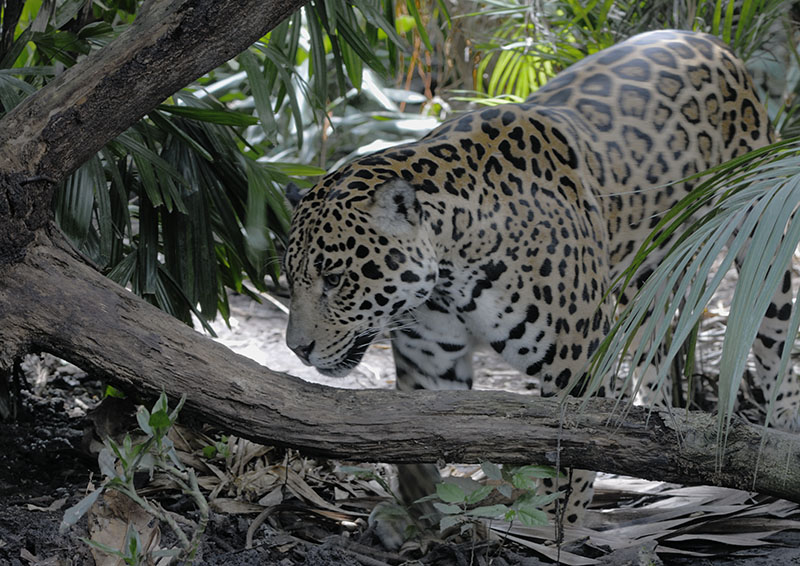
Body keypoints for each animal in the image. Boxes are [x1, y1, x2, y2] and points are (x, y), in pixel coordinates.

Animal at [283, 30, 799, 534]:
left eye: (334, 279)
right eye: (291, 278)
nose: (297, 349)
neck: (451, 269)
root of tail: (712, 42)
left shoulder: (577, 366)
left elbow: (567, 467)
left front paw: (552, 533)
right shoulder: (429, 367)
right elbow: (415, 449)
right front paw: (414, 520)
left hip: (764, 227)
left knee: (773, 339)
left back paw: (781, 430)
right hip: (649, 271)